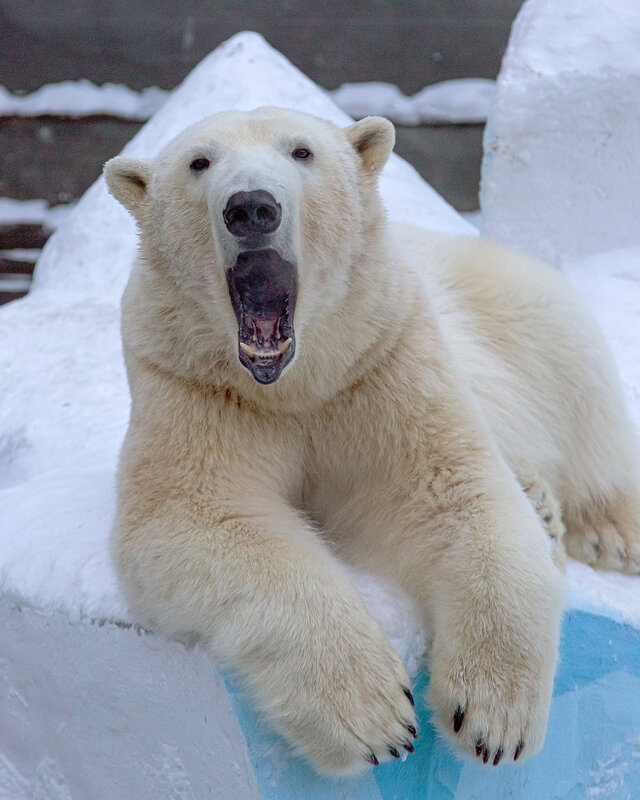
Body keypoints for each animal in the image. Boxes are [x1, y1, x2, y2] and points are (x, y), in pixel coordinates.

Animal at [104, 108, 640, 776]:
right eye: (198, 162)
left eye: (302, 152)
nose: (251, 206)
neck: (294, 383)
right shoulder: (192, 386)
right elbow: (195, 515)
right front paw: (375, 719)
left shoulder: (381, 358)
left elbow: (451, 490)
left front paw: (493, 717)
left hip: (516, 305)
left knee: (581, 382)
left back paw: (605, 528)